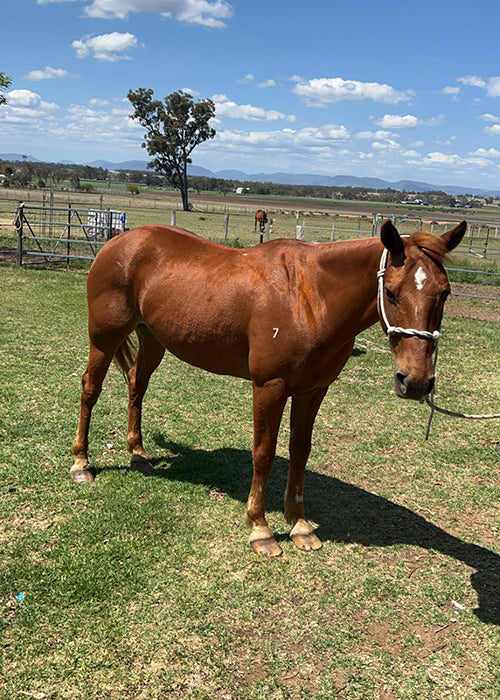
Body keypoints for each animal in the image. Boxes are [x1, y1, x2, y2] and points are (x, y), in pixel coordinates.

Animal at [72, 220, 466, 556]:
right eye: (391, 293)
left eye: (445, 294)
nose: (415, 381)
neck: (309, 297)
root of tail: (120, 241)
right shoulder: (269, 387)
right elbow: (263, 454)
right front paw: (260, 529)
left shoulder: (312, 390)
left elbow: (300, 451)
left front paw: (300, 525)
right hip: (104, 338)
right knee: (90, 389)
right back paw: (81, 463)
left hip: (152, 339)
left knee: (136, 384)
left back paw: (138, 452)